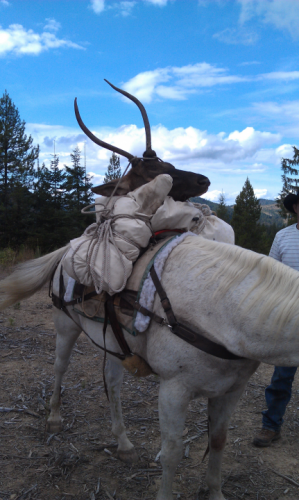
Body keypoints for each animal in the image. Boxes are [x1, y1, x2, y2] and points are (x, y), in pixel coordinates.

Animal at [1, 235, 298, 500]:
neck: (222, 313)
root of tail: (68, 248)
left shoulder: (231, 391)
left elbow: (217, 441)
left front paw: (216, 493)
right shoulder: (174, 390)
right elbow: (172, 452)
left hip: (114, 345)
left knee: (112, 384)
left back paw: (123, 444)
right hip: (66, 327)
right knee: (60, 368)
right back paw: (54, 417)